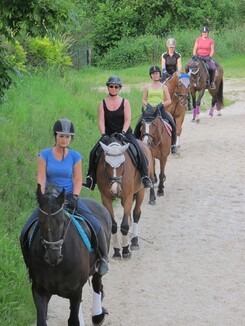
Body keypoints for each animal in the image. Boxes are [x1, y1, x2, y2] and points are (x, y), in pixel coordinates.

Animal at [21, 185, 111, 326]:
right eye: (40, 221)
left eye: (63, 220)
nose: (53, 256)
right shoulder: (39, 291)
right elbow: (41, 320)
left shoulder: (75, 291)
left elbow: (73, 320)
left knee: (97, 282)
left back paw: (98, 316)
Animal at [95, 132, 153, 260]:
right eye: (106, 163)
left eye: (122, 163)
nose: (115, 189)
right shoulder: (105, 198)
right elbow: (113, 225)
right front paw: (117, 251)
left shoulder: (127, 197)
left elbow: (125, 225)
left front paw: (125, 250)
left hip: (140, 190)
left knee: (136, 213)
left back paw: (135, 242)